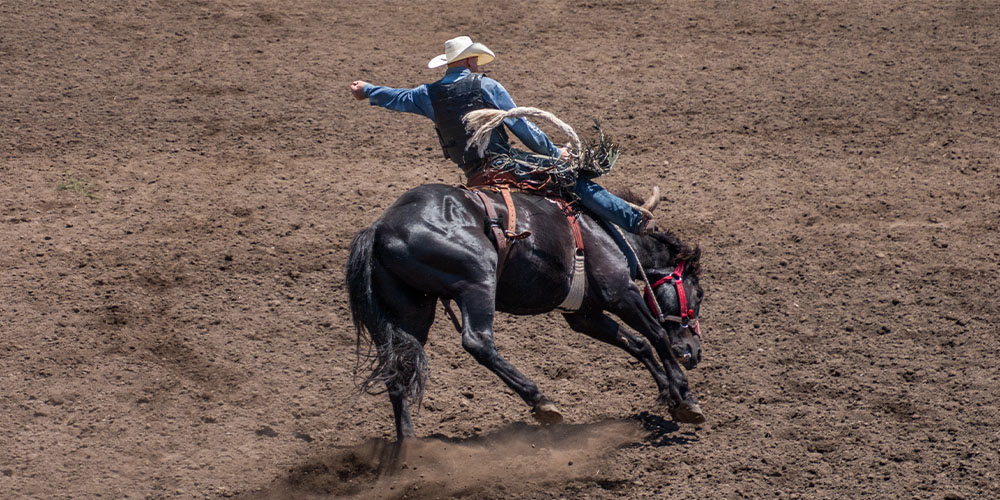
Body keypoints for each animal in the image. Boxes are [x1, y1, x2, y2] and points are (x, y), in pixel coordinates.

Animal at [348, 184, 708, 442]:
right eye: (700, 293)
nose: (694, 352)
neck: (610, 233)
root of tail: (379, 228)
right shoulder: (621, 293)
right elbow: (656, 335)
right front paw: (685, 395)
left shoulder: (585, 315)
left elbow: (637, 344)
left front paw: (670, 395)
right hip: (478, 280)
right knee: (478, 342)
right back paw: (541, 401)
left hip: (412, 309)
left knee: (398, 367)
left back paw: (408, 443)